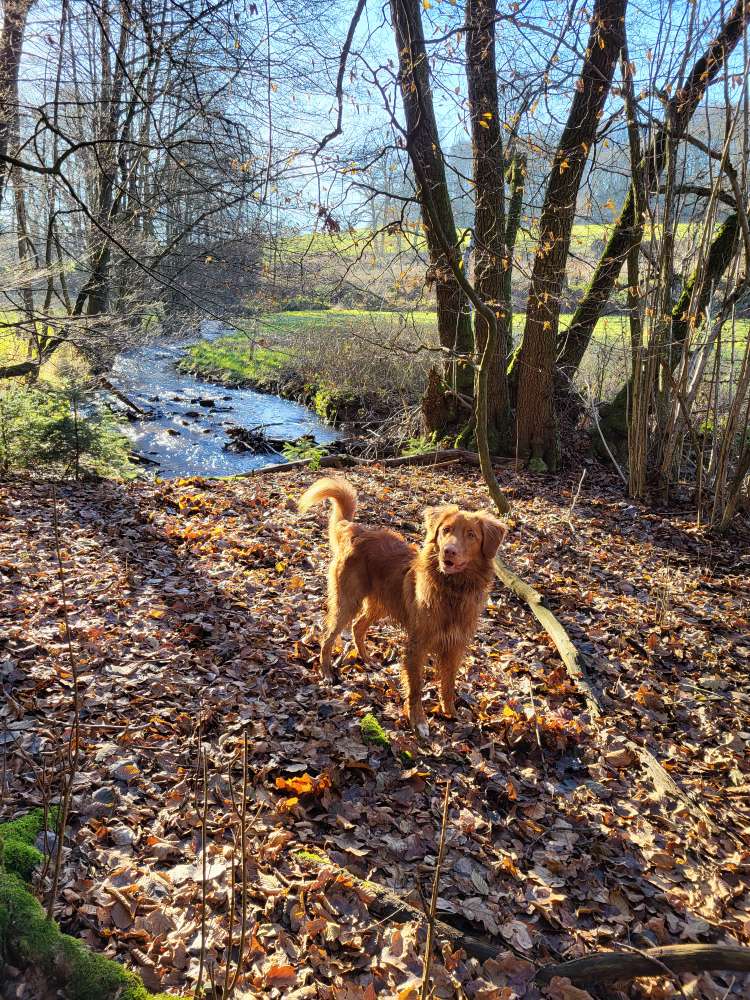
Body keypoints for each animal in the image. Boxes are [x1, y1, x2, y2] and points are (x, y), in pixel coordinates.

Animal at [298, 476, 506, 736]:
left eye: (471, 534)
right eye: (445, 530)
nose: (449, 551)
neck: (452, 592)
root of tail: (355, 529)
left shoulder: (455, 646)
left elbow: (448, 684)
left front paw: (450, 712)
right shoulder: (418, 645)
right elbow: (416, 686)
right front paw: (419, 721)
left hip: (381, 603)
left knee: (358, 627)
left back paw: (367, 659)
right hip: (347, 602)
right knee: (328, 637)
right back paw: (326, 672)